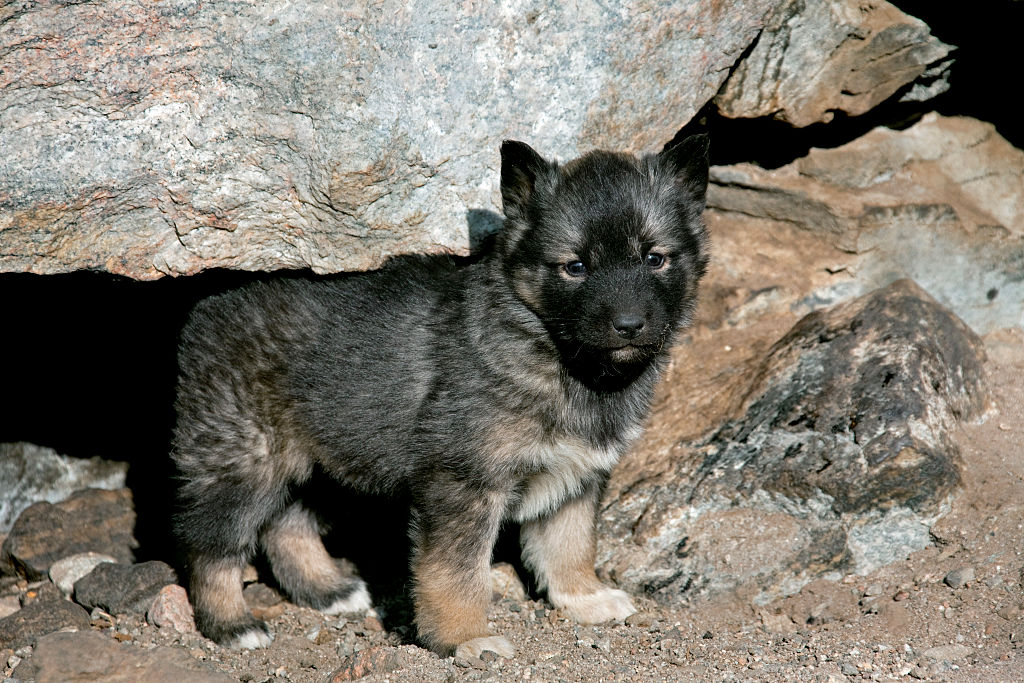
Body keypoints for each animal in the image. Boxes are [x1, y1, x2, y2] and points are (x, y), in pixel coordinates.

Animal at [172, 132, 708, 655]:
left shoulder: (576, 476)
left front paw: (585, 598)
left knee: (286, 525)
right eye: (575, 267)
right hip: (243, 460)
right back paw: (231, 624)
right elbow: (457, 572)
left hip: (324, 455)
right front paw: (464, 638)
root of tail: (214, 298)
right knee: (210, 546)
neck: (557, 355)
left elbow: (570, 546)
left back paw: (328, 590)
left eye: (655, 259)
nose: (629, 325)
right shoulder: (462, 481)